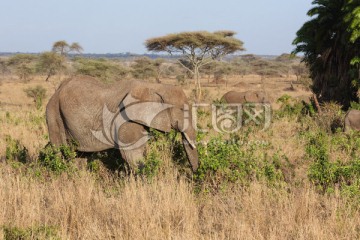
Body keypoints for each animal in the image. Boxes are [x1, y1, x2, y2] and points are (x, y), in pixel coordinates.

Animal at [45, 76, 200, 172]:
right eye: (182, 110)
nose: (193, 175)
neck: (153, 87)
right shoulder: (124, 119)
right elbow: (132, 154)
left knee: (81, 155)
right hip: (53, 114)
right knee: (59, 151)